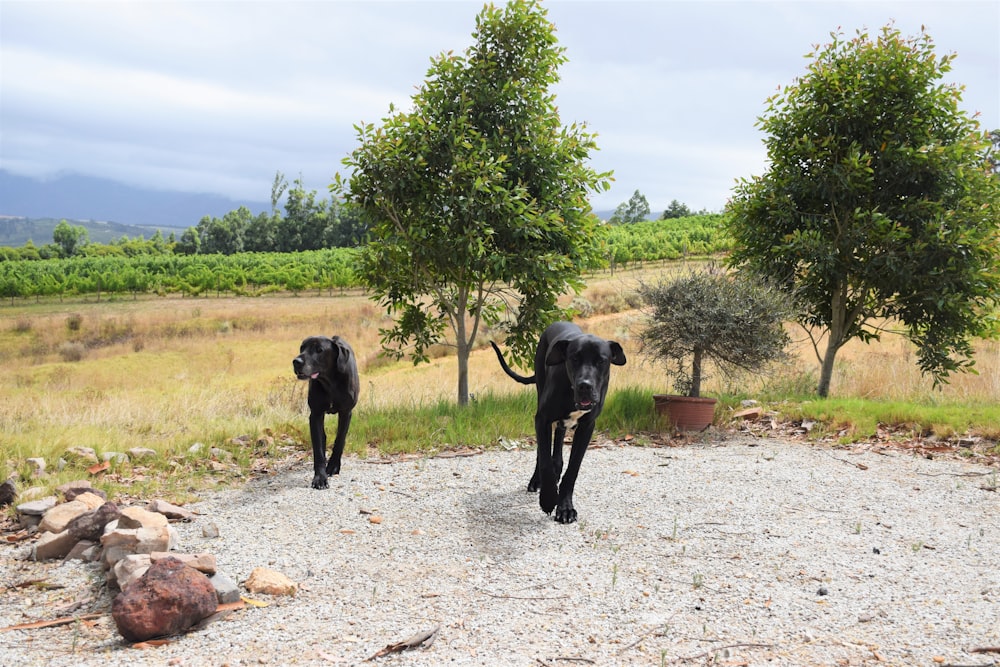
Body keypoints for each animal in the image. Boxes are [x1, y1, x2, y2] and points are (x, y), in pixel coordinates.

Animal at [292, 336, 360, 488]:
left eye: (319, 350)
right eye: (301, 348)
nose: (296, 361)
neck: (330, 381)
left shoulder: (346, 412)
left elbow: (340, 440)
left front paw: (333, 466)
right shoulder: (316, 414)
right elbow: (317, 448)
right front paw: (320, 477)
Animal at [492, 320, 624, 524]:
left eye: (601, 361)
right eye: (574, 358)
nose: (584, 386)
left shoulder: (587, 427)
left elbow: (573, 470)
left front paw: (565, 507)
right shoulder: (542, 419)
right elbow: (545, 461)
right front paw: (548, 498)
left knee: (560, 438)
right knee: (542, 452)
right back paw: (537, 481)